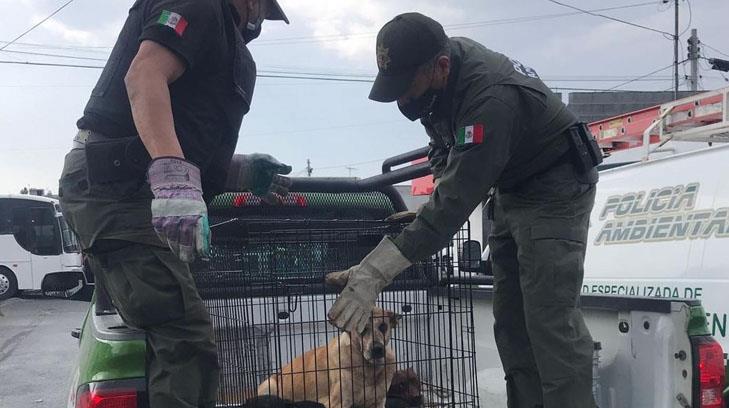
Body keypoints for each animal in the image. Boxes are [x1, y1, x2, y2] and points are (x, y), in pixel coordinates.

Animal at [258, 306, 398, 408]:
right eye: (362, 329)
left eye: (383, 326)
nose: (377, 349)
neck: (368, 368)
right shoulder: (338, 403)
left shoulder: (377, 402)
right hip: (269, 384)